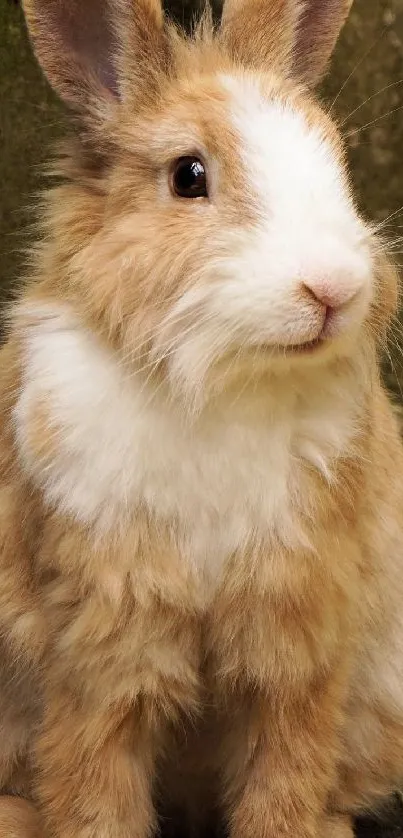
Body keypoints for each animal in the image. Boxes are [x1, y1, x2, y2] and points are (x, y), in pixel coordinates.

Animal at [0, 0, 403, 836]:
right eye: (189, 176)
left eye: (335, 157)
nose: (332, 288)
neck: (221, 382)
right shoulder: (104, 640)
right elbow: (96, 785)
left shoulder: (296, 635)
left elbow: (284, 778)